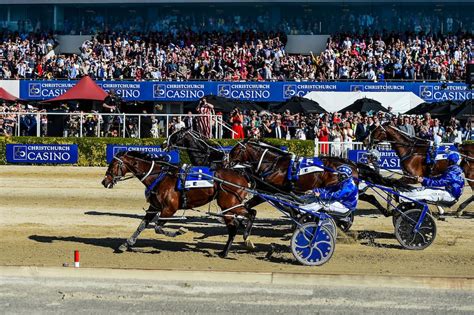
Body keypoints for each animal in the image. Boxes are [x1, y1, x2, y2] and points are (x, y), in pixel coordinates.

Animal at [102, 151, 254, 260]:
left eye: (113, 164)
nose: (104, 182)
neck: (160, 177)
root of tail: (242, 177)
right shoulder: (154, 208)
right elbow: (141, 226)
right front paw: (126, 243)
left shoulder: (169, 209)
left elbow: (158, 228)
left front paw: (180, 231)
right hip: (230, 206)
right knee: (238, 223)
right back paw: (227, 249)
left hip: (228, 204)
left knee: (246, 217)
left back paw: (241, 240)